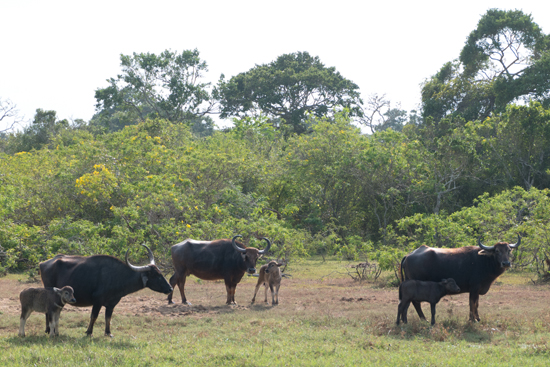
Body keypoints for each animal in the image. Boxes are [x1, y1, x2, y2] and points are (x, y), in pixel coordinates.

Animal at [39, 246, 172, 338]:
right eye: (156, 275)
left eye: (160, 273)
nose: (170, 289)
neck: (118, 276)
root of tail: (43, 263)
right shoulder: (97, 302)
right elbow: (94, 316)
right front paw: (89, 332)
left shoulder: (111, 304)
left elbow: (108, 317)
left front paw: (108, 333)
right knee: (48, 311)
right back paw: (48, 330)